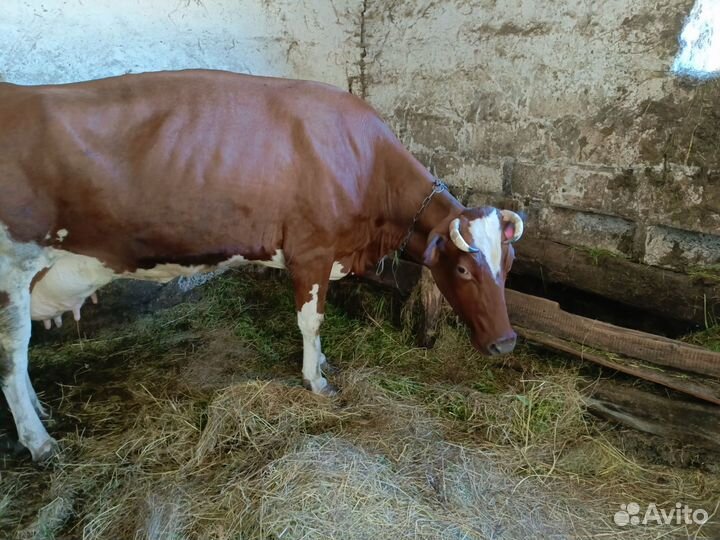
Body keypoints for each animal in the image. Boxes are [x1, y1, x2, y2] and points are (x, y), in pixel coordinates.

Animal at [0, 69, 524, 462]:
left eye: (508, 266)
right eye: (463, 270)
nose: (506, 343)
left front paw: (323, 362)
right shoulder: (311, 252)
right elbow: (311, 321)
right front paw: (316, 379)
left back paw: (41, 413)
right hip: (12, 269)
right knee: (12, 355)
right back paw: (39, 442)